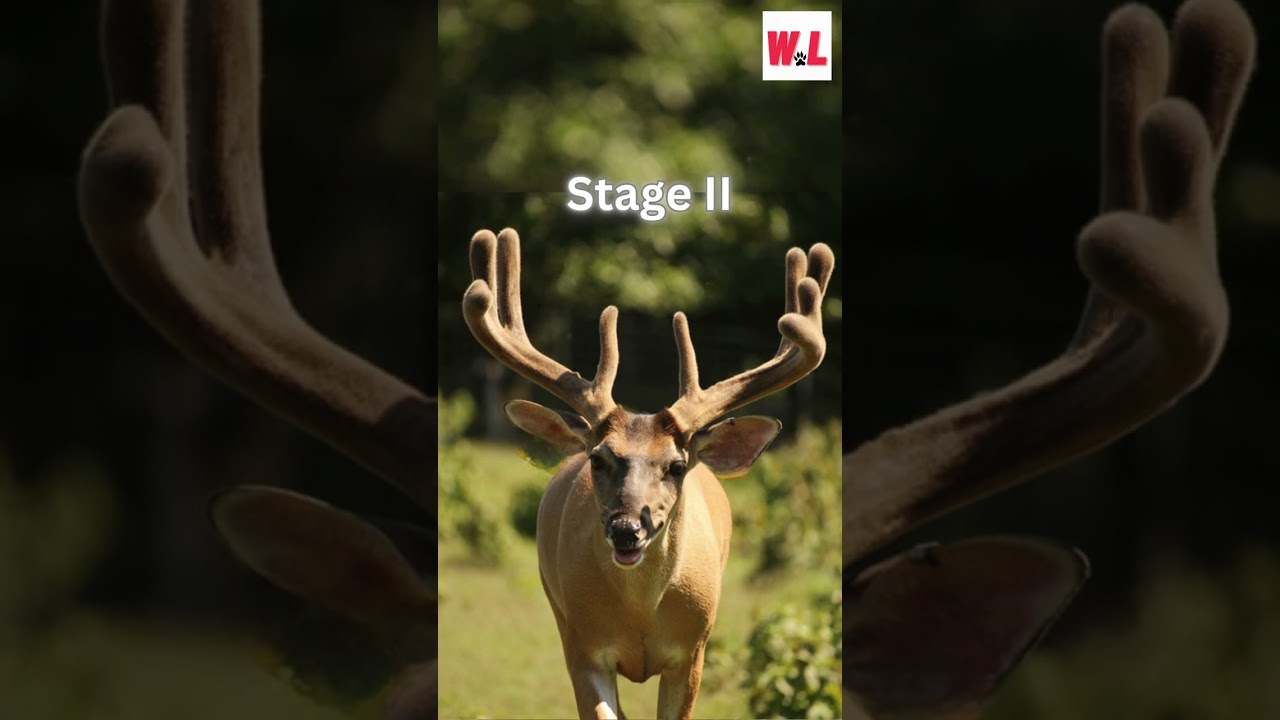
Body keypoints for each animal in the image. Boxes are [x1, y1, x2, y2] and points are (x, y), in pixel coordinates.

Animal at [461, 228, 834, 719]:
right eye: (598, 459)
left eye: (676, 466)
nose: (626, 529)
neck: (640, 614)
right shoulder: (581, 647)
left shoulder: (693, 651)